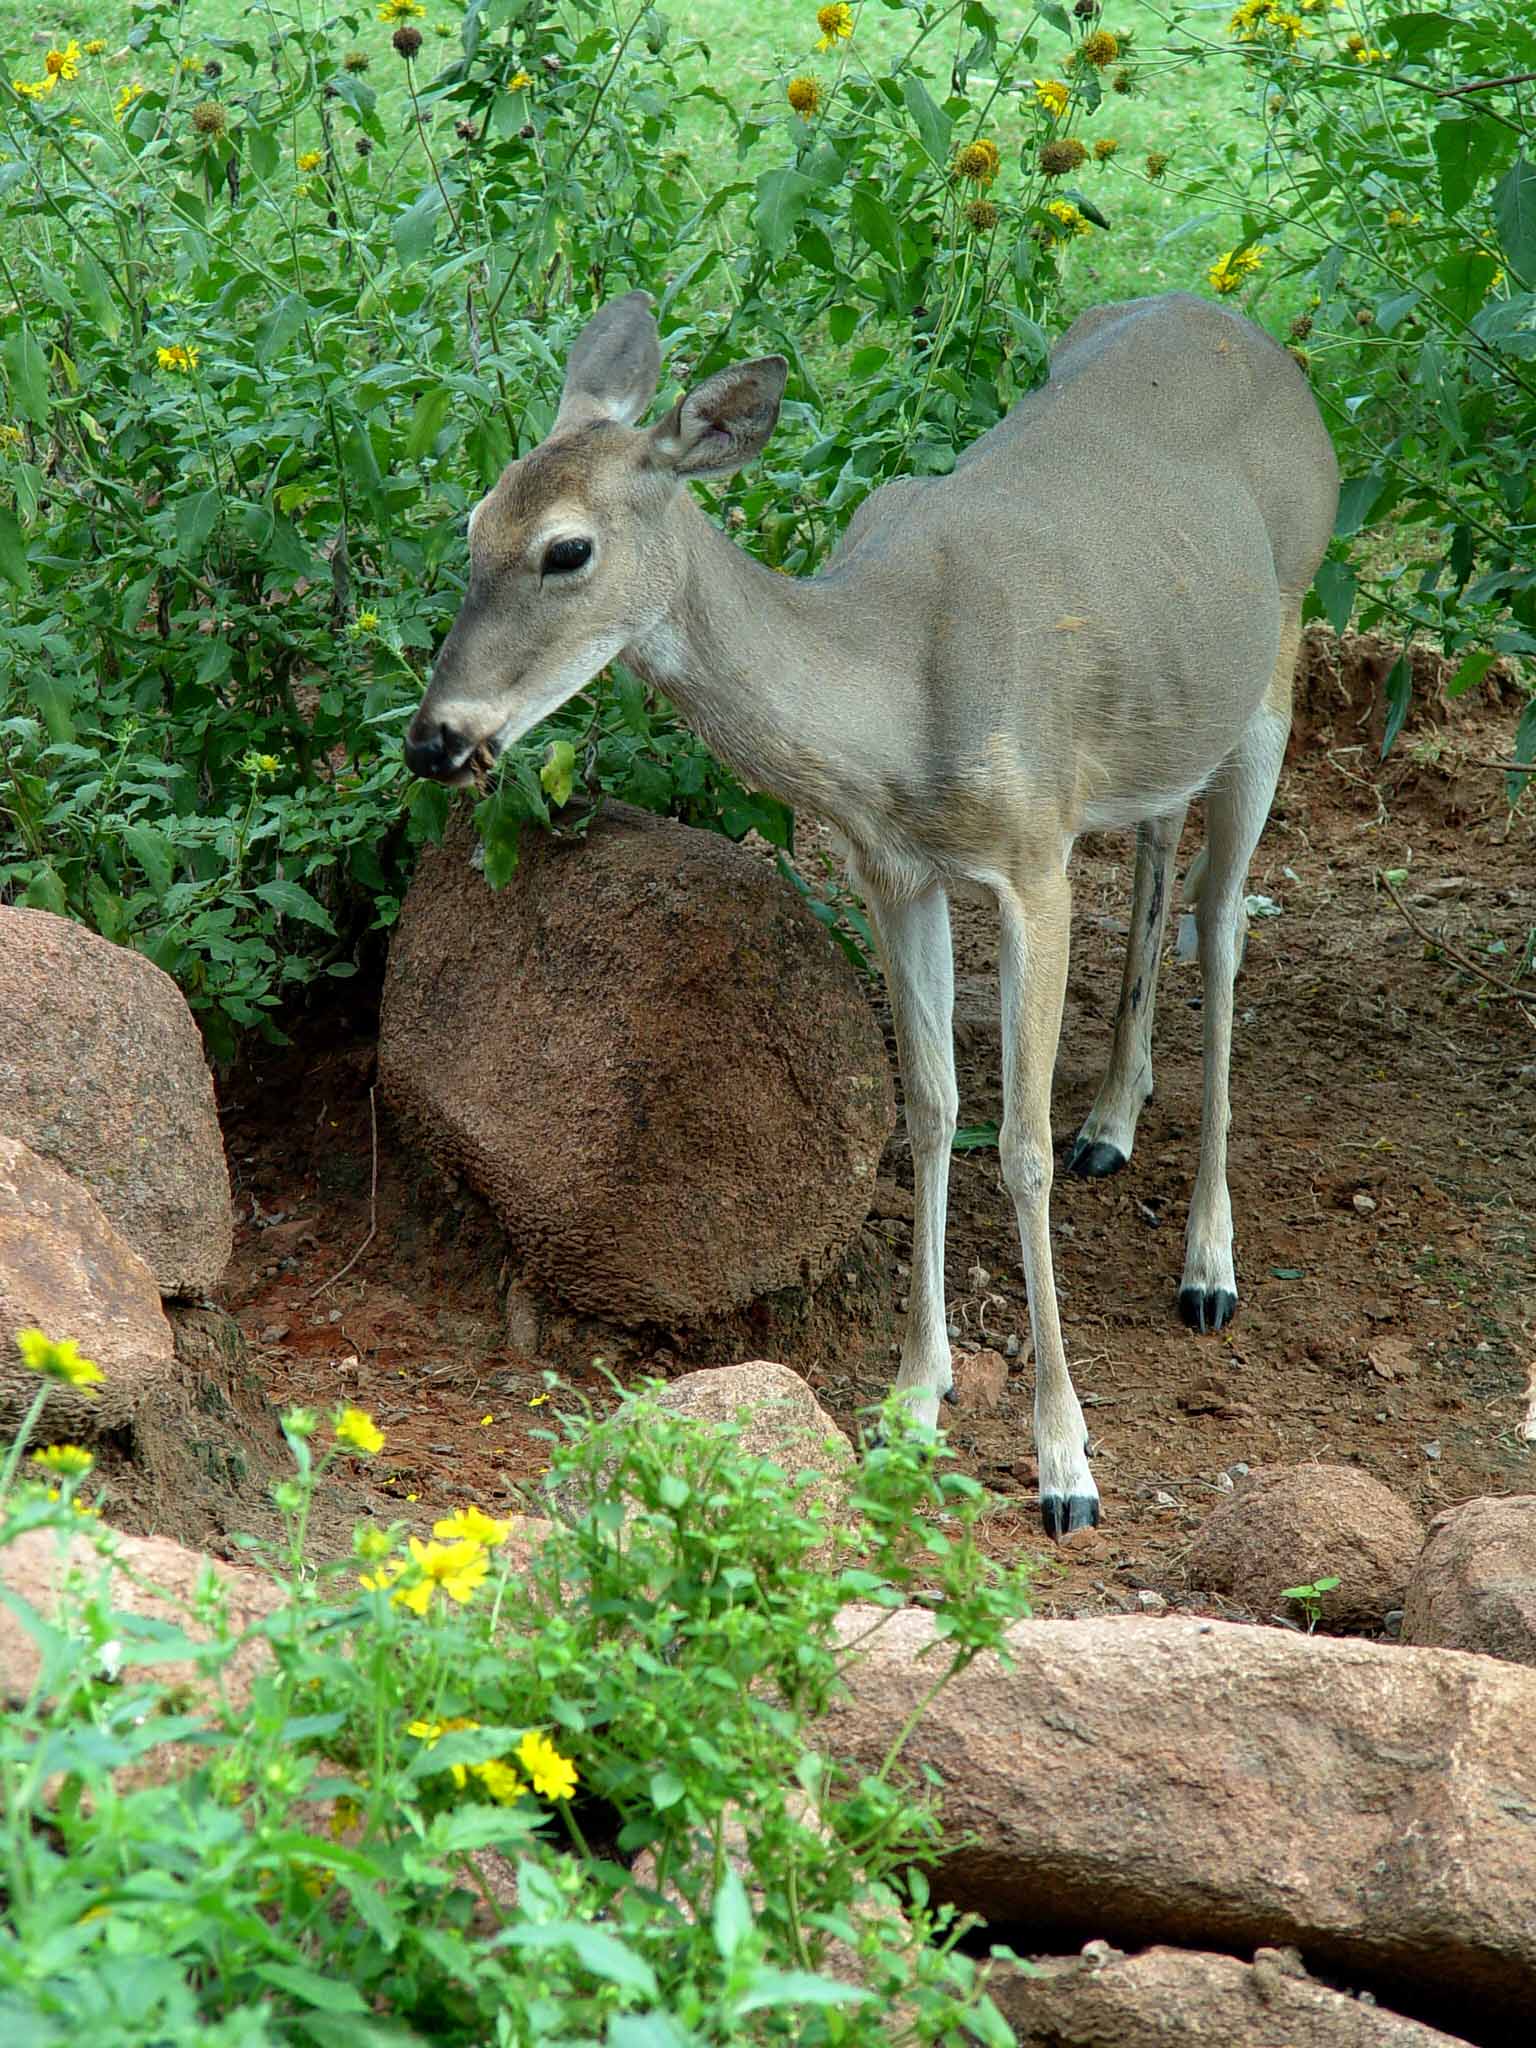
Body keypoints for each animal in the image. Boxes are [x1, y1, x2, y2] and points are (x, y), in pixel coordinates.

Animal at [402, 289, 1339, 1538]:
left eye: (567, 548)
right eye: (471, 523)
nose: (435, 738)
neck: (893, 705)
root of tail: (1263, 341)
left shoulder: (1033, 852)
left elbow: (1019, 1149)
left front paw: (1064, 1460)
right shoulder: (895, 872)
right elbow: (934, 1110)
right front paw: (911, 1395)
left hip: (1277, 657)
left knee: (1224, 920)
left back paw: (1207, 1264)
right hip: (1166, 717)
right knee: (1159, 849)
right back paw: (1114, 1114)